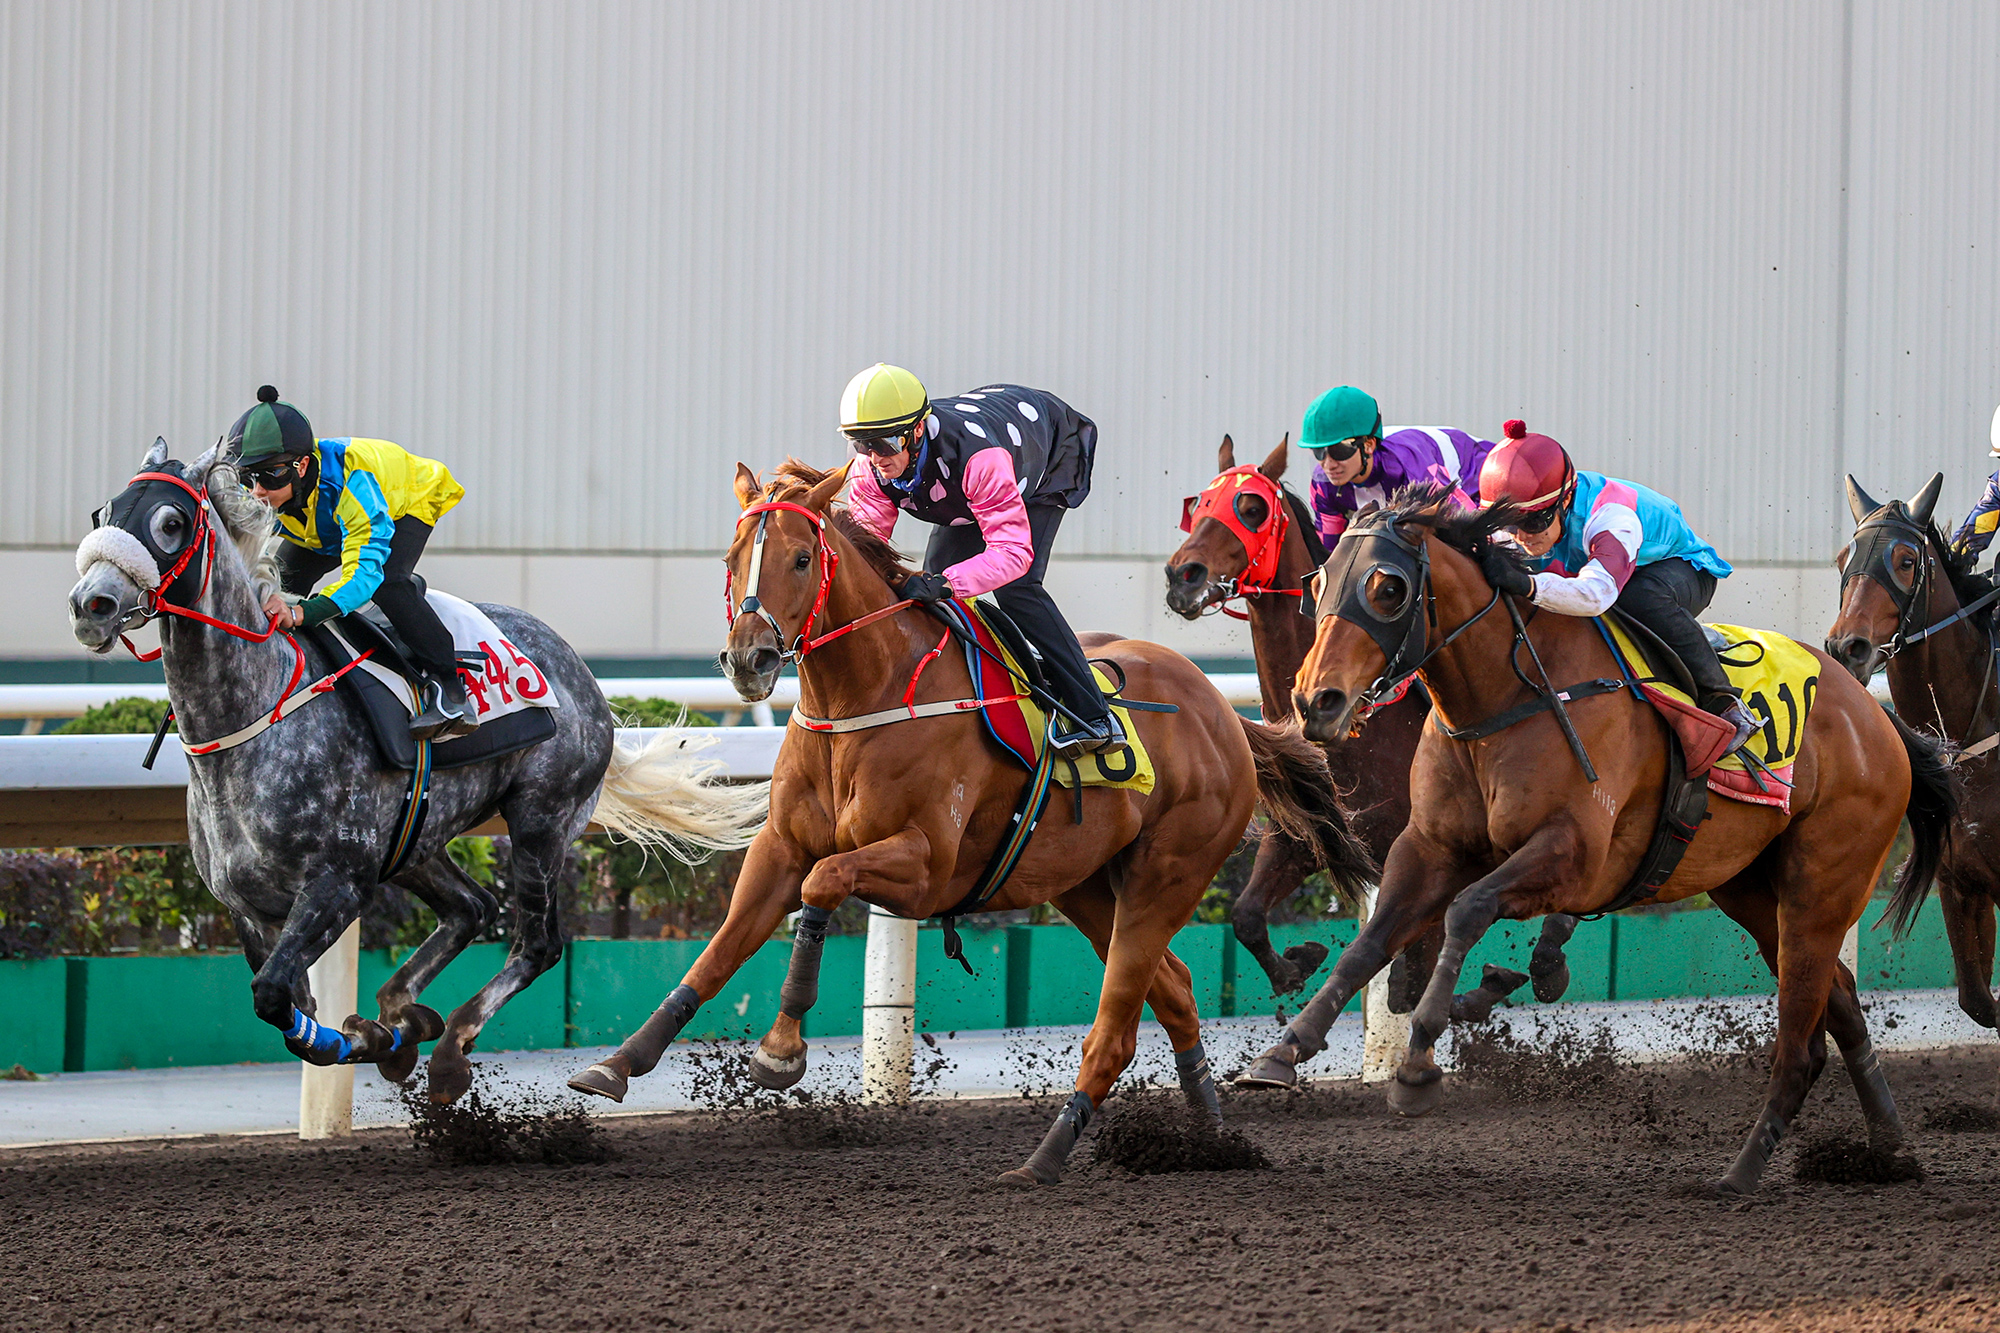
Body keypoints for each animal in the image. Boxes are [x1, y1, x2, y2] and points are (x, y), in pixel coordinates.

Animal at [64, 440, 764, 1096]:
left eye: (171, 521)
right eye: (105, 512)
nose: (90, 604)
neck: (256, 717)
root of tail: (581, 675)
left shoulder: (339, 884)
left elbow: (275, 998)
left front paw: (373, 1038)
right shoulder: (246, 907)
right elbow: (291, 1011)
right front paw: (383, 1035)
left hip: (541, 817)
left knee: (536, 942)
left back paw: (450, 1048)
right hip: (417, 837)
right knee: (473, 908)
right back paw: (406, 1013)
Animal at [1168, 436, 1584, 1008]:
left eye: (1251, 509)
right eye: (1200, 504)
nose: (1181, 577)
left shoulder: (1429, 856)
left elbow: (1409, 984)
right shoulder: (1306, 835)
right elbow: (1246, 915)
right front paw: (1298, 962)